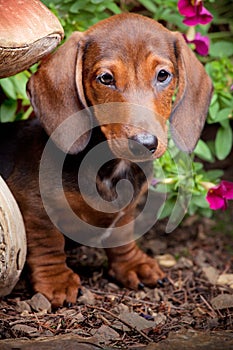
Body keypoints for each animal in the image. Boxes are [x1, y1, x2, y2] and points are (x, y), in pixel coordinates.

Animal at [0, 13, 212, 308]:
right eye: (106, 78)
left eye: (163, 75)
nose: (145, 144)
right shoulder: (33, 204)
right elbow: (48, 241)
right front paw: (56, 281)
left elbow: (123, 235)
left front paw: (132, 264)